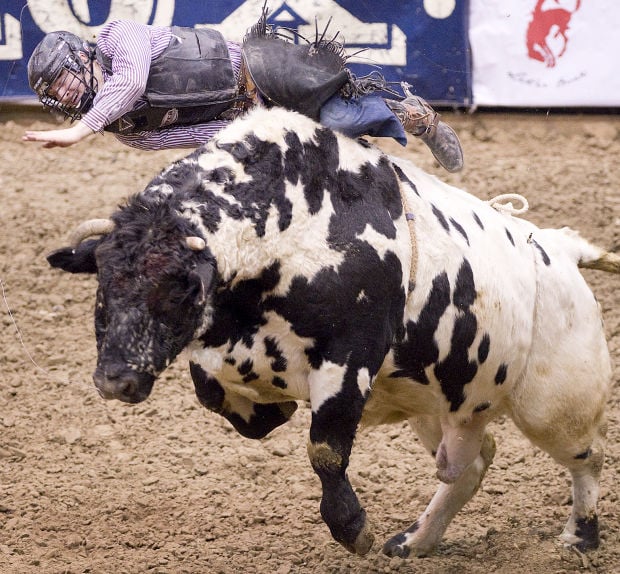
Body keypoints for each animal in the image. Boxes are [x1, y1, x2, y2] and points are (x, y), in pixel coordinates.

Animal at [47, 107, 616, 560]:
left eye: (176, 292)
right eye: (103, 283)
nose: (114, 380)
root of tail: (563, 248)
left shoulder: (349, 358)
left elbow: (324, 449)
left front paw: (352, 528)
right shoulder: (219, 349)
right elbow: (215, 393)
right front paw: (270, 410)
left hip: (556, 404)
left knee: (588, 457)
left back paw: (581, 536)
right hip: (442, 405)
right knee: (471, 463)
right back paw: (416, 541)